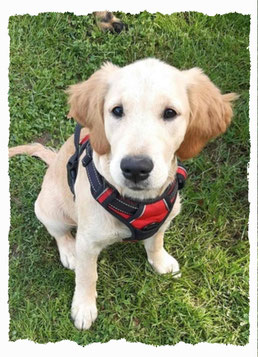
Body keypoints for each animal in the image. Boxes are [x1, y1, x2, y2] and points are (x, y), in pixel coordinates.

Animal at [8, 57, 238, 328]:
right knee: (59, 233)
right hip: (49, 209)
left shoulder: (164, 220)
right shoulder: (87, 241)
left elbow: (156, 242)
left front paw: (161, 262)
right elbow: (87, 275)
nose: (136, 168)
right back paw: (68, 252)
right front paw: (84, 307)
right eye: (117, 110)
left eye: (170, 113)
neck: (137, 201)